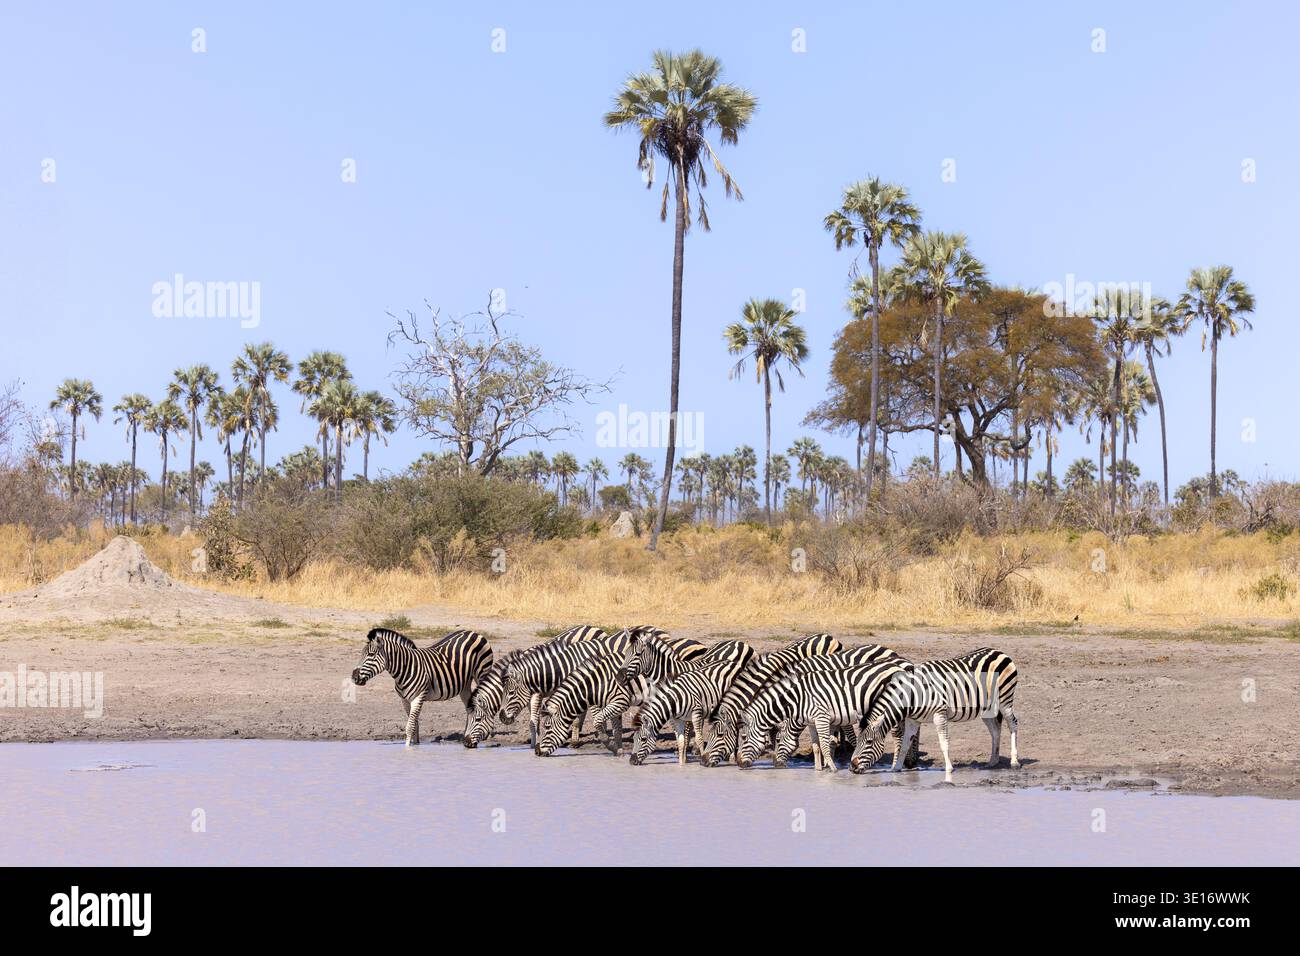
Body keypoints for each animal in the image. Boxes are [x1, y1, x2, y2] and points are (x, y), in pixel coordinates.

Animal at [350, 627, 493, 747]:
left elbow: (410, 726)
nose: (354, 677)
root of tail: (473, 632)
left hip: (482, 673)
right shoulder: (404, 700)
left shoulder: (418, 696)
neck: (405, 668)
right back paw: (466, 734)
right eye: (361, 654)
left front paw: (407, 748)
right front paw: (416, 744)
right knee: (470, 708)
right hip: (464, 684)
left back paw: (487, 734)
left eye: (371, 655)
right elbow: (414, 724)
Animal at [462, 625, 607, 748]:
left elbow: (533, 720)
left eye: (477, 719)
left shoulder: (537, 694)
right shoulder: (527, 697)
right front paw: (534, 742)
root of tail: (596, 628)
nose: (466, 743)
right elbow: (533, 722)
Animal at [736, 660, 910, 772]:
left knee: (898, 736)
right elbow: (816, 746)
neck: (798, 699)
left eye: (744, 738)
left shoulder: (822, 717)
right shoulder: (812, 722)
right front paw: (818, 769)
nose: (738, 763)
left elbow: (826, 745)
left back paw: (895, 766)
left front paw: (833, 769)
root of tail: (897, 666)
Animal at [849, 647, 1020, 781]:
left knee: (1013, 724)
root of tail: (998, 651)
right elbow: (904, 745)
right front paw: (896, 768)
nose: (852, 767)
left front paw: (949, 769)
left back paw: (1014, 761)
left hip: (1005, 698)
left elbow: (943, 743)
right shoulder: (913, 720)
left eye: (869, 742)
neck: (912, 695)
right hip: (987, 707)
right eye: (857, 742)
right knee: (995, 731)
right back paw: (993, 761)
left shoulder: (940, 714)